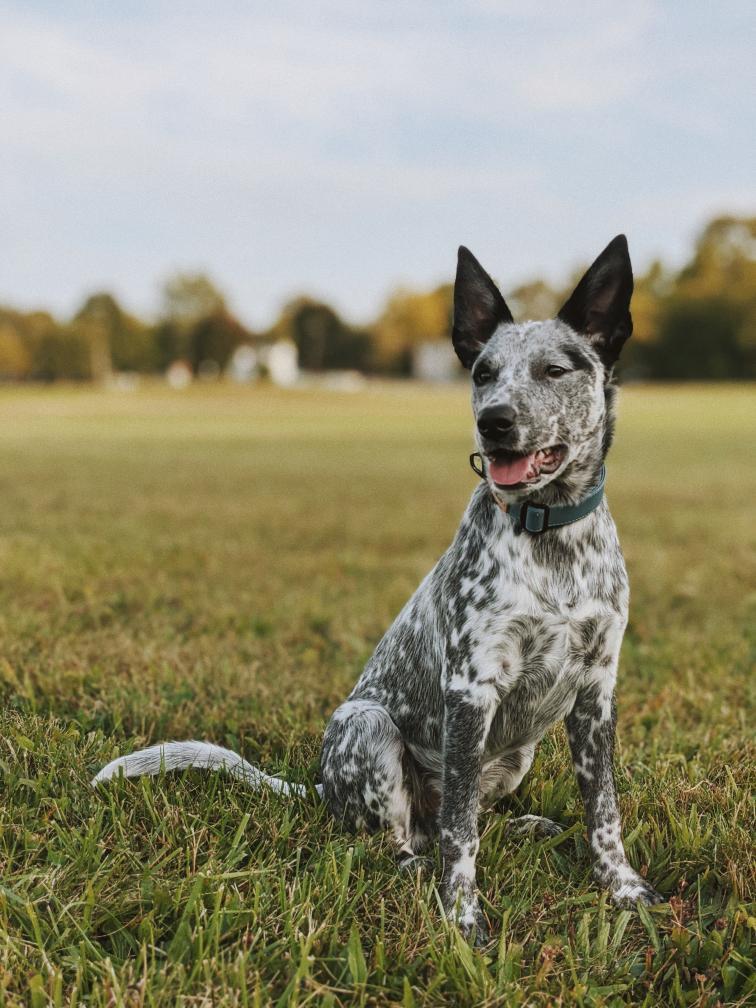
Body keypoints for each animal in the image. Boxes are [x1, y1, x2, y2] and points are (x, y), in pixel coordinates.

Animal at [93, 237, 661, 943]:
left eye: (555, 369)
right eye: (482, 373)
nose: (494, 422)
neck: (549, 534)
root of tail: (318, 789)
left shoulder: (596, 692)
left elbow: (602, 810)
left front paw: (622, 887)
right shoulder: (470, 690)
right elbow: (460, 838)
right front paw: (462, 917)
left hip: (517, 752)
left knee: (465, 818)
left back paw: (524, 825)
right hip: (369, 727)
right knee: (407, 836)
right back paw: (414, 864)